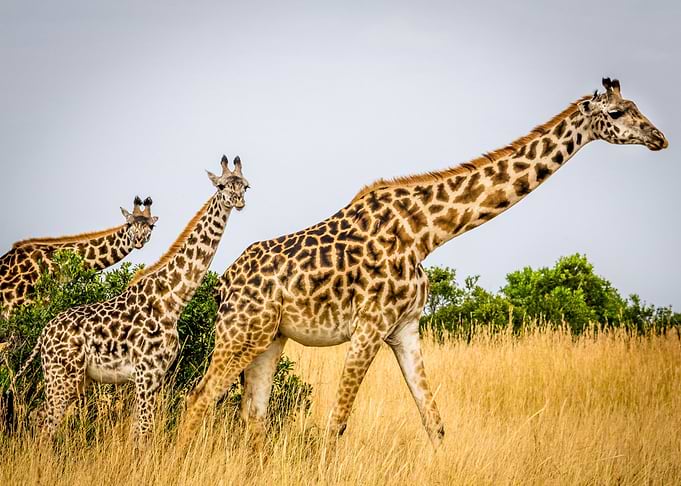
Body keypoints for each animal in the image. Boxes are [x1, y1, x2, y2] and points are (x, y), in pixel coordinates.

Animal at [177, 78, 668, 449]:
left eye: (636, 107)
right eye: (618, 113)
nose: (659, 138)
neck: (426, 234)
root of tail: (222, 284)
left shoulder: (406, 329)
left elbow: (435, 423)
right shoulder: (370, 326)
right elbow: (336, 423)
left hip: (270, 337)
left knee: (253, 414)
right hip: (240, 332)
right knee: (198, 399)